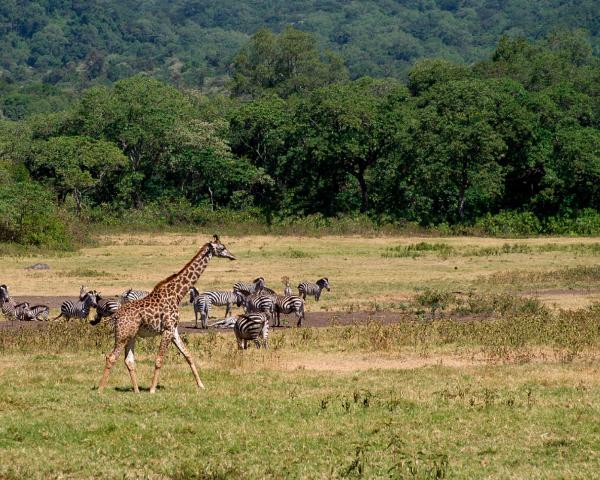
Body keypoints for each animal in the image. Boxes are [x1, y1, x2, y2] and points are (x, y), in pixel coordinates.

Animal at [96, 233, 234, 394]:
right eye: (222, 248)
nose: (232, 256)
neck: (177, 294)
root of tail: (116, 315)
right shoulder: (167, 329)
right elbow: (159, 360)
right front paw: (152, 390)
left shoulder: (174, 330)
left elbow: (188, 355)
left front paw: (201, 385)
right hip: (123, 335)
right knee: (111, 357)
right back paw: (100, 390)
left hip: (131, 336)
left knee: (129, 360)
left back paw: (136, 391)